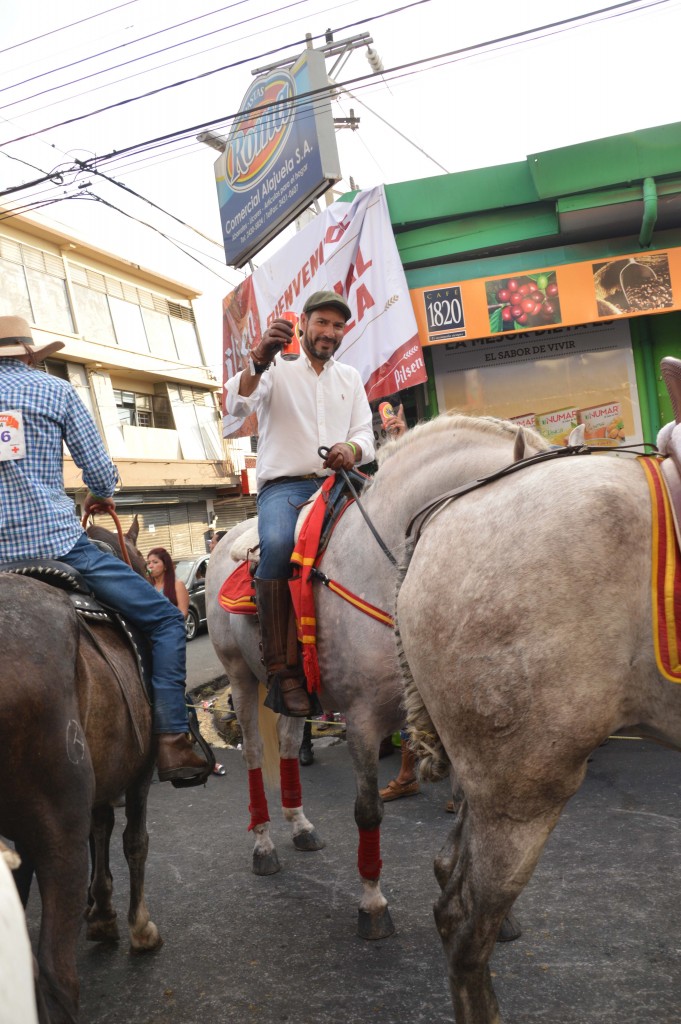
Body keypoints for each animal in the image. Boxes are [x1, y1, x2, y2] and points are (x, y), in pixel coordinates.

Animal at [0, 520, 160, 1024]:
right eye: (145, 564)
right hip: (60, 834)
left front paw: (101, 908)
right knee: (56, 975)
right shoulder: (140, 777)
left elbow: (102, 829)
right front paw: (136, 927)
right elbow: (134, 842)